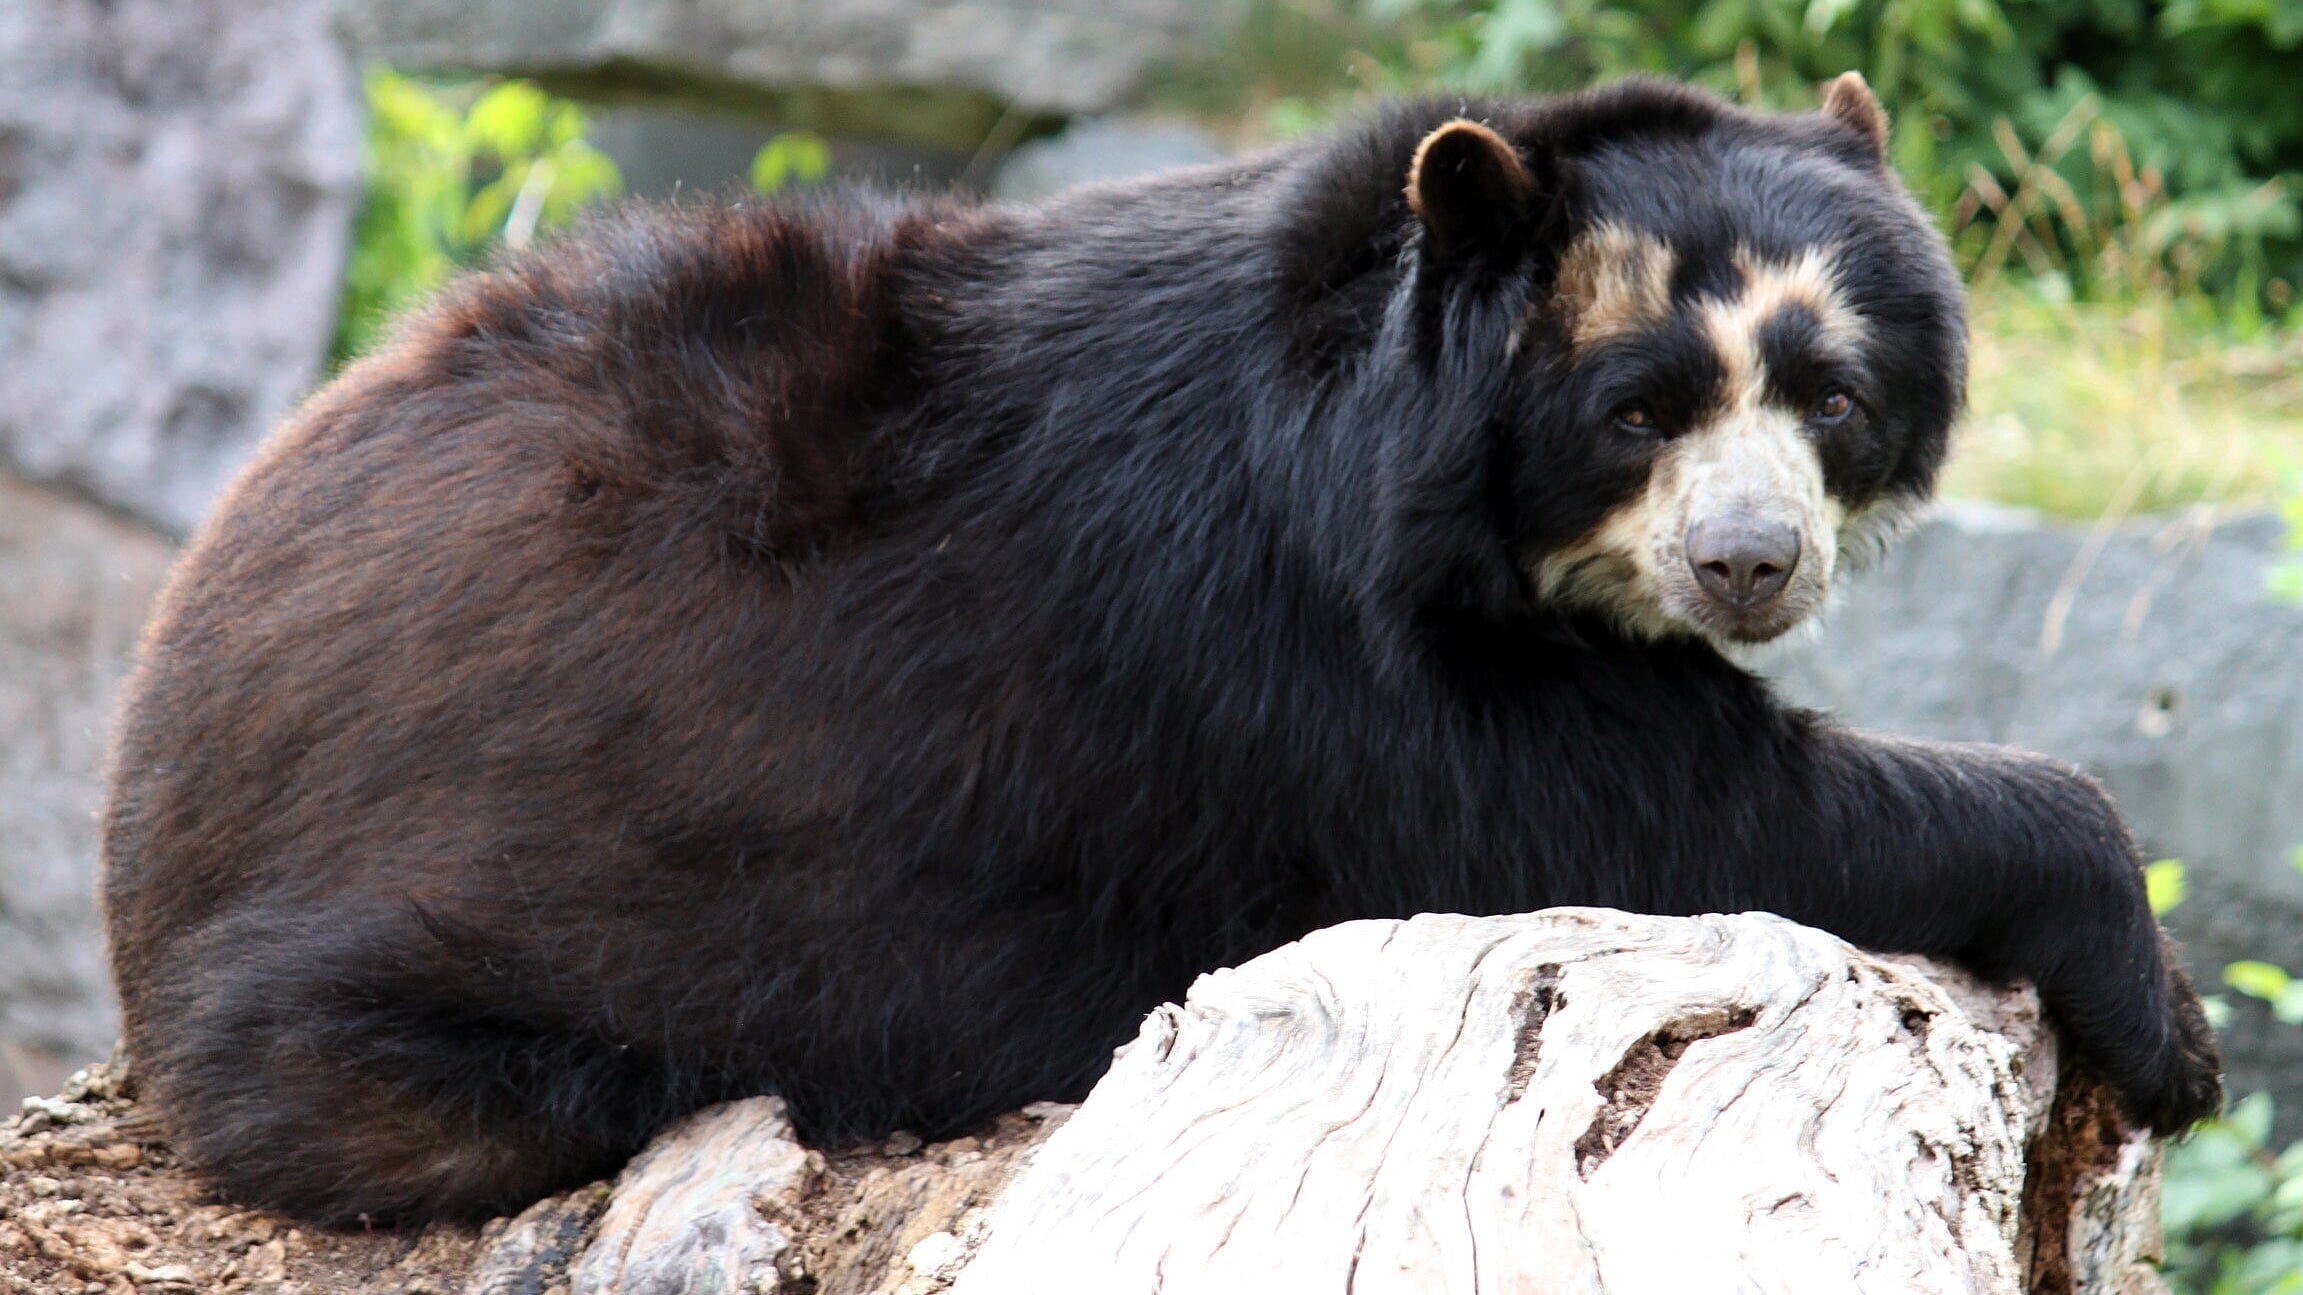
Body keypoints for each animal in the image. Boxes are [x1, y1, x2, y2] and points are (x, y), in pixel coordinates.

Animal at [103, 73, 2210, 1216]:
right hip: (443, 959)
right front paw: (2169, 1028)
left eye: (1827, 393)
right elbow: (1672, 812)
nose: (1751, 568)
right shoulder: (1308, 662)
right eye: (1636, 408)